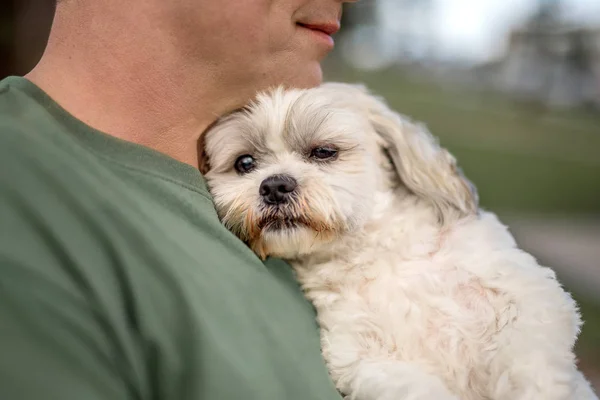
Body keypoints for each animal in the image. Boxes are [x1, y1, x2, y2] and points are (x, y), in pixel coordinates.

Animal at [200, 83, 596, 398]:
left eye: (324, 151)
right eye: (245, 163)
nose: (274, 185)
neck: (378, 253)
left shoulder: (527, 296)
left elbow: (529, 361)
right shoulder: (360, 357)